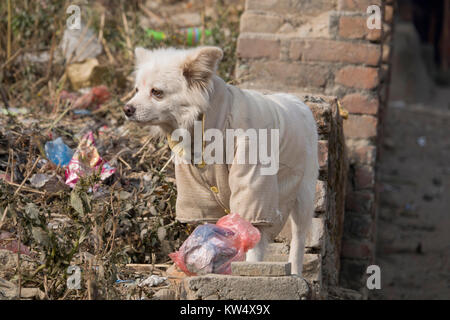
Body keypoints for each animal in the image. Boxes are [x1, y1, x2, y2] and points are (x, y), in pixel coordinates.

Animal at [125, 45, 318, 276]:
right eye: (136, 90)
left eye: (157, 92)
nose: (126, 109)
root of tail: (299, 102)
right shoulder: (197, 190)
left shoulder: (253, 185)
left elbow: (253, 236)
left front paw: (249, 269)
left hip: (303, 195)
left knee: (299, 238)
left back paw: (296, 271)